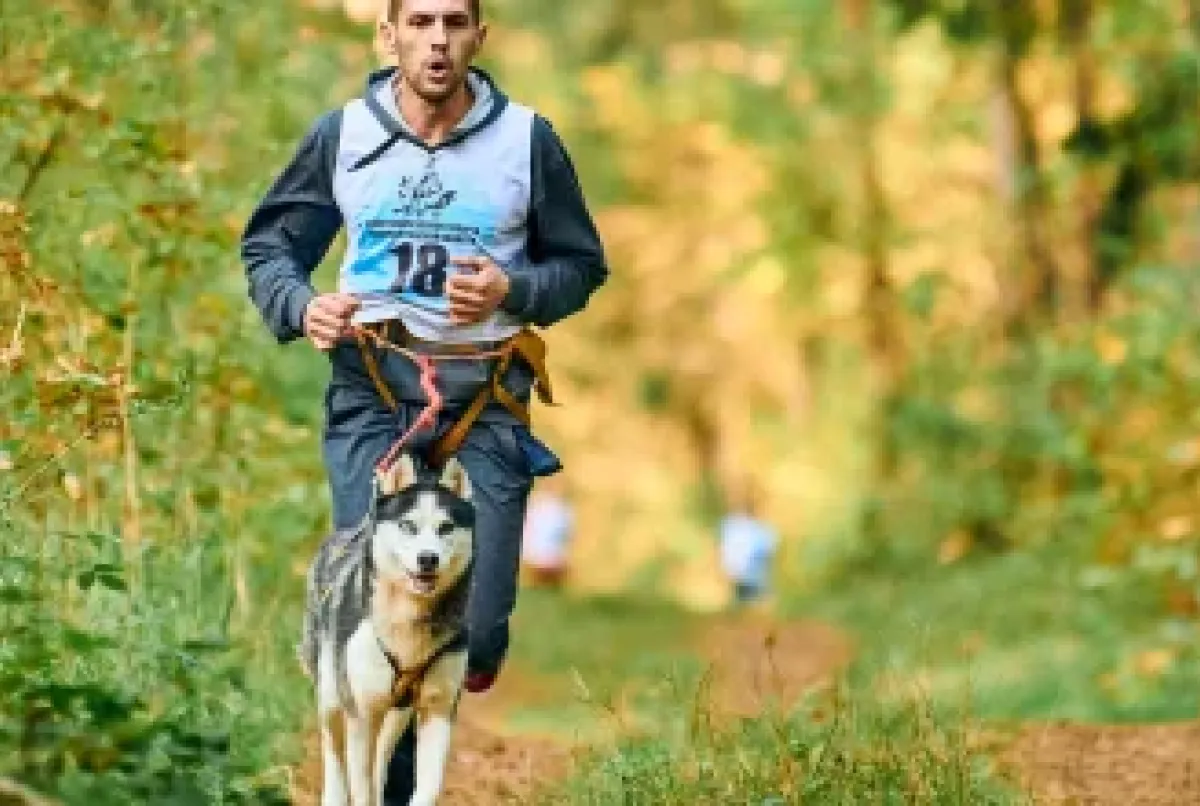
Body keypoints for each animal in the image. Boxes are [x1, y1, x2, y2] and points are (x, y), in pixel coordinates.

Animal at [302, 453, 475, 806]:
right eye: (408, 525)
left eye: (446, 527)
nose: (428, 559)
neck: (409, 618)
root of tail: (343, 535)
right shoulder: (361, 711)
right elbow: (359, 782)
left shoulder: (438, 707)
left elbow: (427, 786)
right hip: (331, 692)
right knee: (334, 752)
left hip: (399, 711)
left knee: (381, 757)